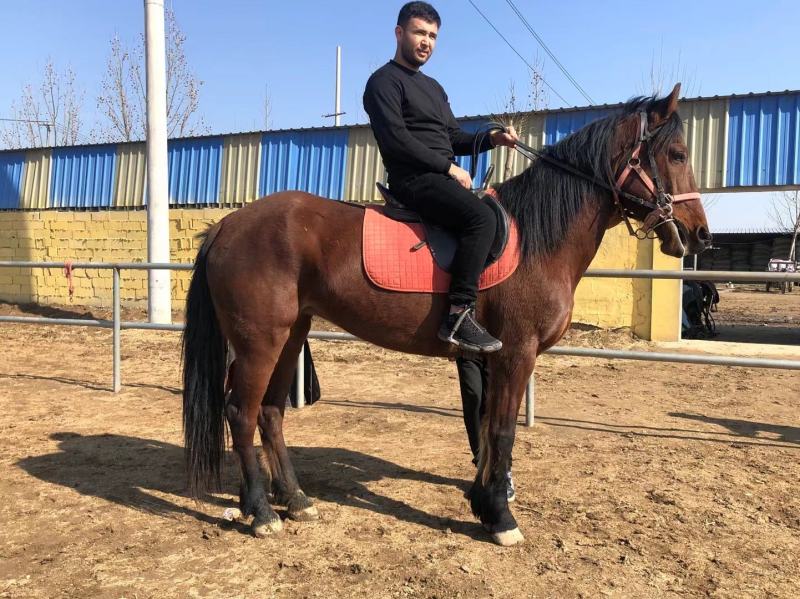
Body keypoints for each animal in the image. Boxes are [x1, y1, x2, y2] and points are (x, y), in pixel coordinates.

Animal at [182, 84, 711, 546]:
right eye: (677, 154)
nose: (700, 234)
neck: (536, 238)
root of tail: (228, 224)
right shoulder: (515, 354)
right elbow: (500, 430)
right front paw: (501, 518)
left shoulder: (498, 359)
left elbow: (489, 429)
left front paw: (484, 503)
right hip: (260, 342)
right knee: (241, 412)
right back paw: (261, 512)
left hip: (290, 336)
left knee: (270, 413)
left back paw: (295, 499)